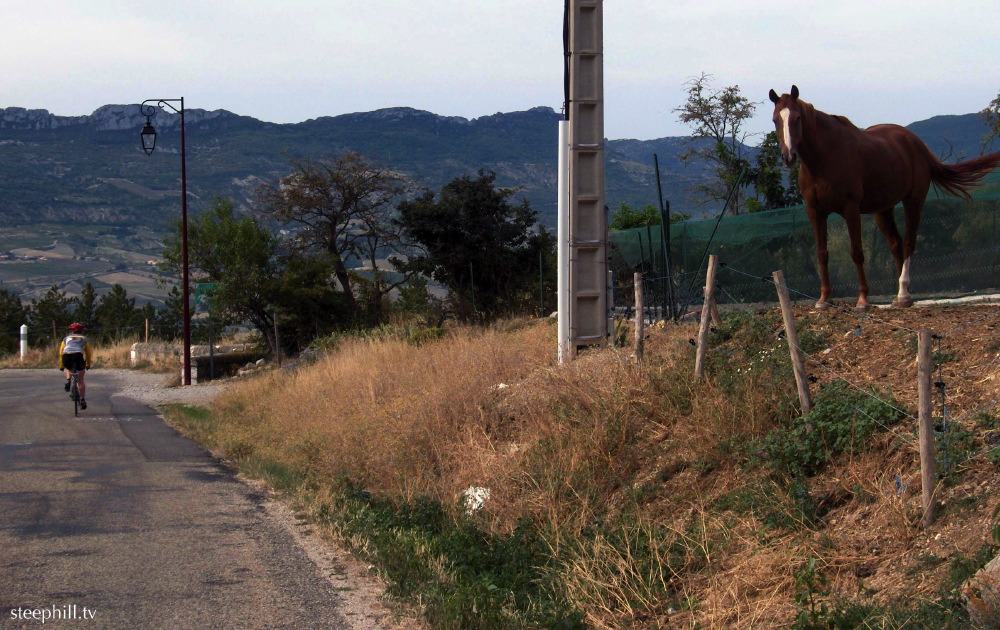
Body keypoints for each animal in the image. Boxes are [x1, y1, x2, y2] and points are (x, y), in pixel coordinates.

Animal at [768, 85, 1000, 311]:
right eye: (775, 120)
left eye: (797, 118)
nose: (788, 157)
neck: (824, 159)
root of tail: (916, 143)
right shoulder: (815, 211)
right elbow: (822, 253)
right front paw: (824, 299)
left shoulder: (850, 209)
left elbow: (857, 252)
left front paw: (863, 300)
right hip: (883, 210)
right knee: (896, 244)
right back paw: (901, 297)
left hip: (913, 201)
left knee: (908, 243)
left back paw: (904, 293)